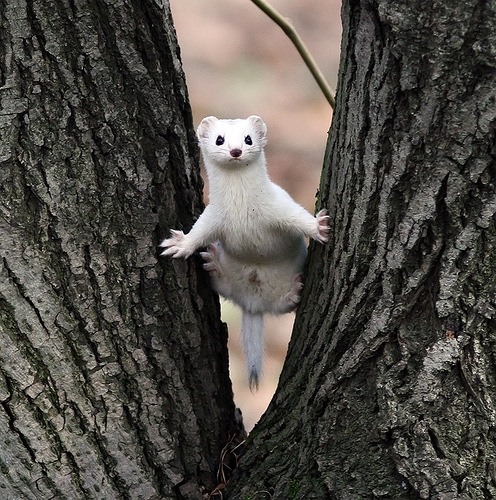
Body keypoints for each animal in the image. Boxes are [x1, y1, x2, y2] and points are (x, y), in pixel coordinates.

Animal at [160, 115, 330, 388]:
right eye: (219, 139)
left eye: (248, 138)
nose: (236, 150)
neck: (241, 209)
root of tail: (252, 303)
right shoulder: (213, 215)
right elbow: (198, 233)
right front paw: (179, 244)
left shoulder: (278, 206)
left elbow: (298, 218)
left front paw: (319, 226)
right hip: (233, 284)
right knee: (227, 289)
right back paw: (213, 264)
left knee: (282, 307)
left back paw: (294, 291)